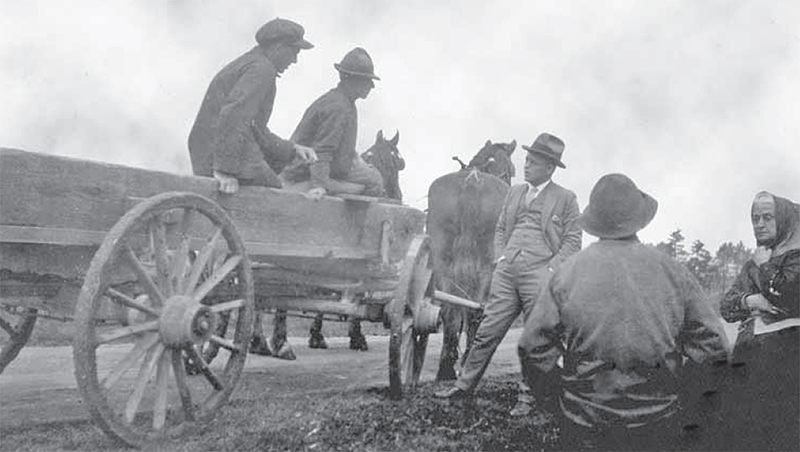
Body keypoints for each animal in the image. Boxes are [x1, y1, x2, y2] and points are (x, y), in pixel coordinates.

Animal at [253, 129, 406, 358]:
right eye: (398, 160)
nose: (398, 195)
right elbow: (353, 294)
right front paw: (353, 335)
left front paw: (317, 334)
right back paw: (280, 342)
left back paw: (259, 340)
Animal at [428, 139, 516, 380]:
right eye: (512, 169)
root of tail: (472, 181)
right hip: (489, 266)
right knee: (477, 310)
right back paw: (468, 360)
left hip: (441, 261)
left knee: (449, 309)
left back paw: (446, 366)